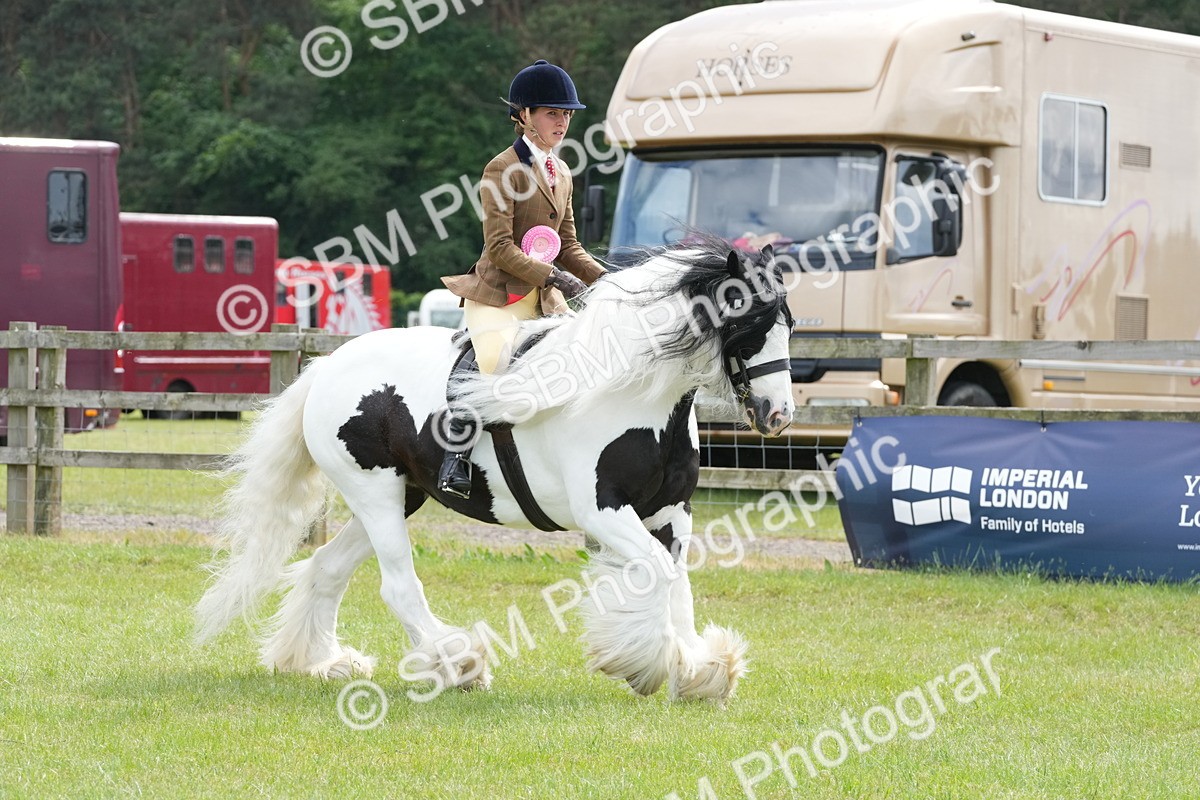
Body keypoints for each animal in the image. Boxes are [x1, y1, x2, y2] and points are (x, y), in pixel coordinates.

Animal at [195, 237, 795, 703]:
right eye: (748, 320)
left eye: (787, 324)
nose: (779, 415)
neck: (633, 393)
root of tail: (326, 368)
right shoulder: (603, 513)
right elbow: (657, 573)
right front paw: (645, 663)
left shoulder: (672, 511)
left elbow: (676, 583)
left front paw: (699, 671)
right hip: (374, 492)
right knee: (398, 586)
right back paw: (458, 665)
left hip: (400, 495)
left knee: (327, 567)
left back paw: (322, 661)